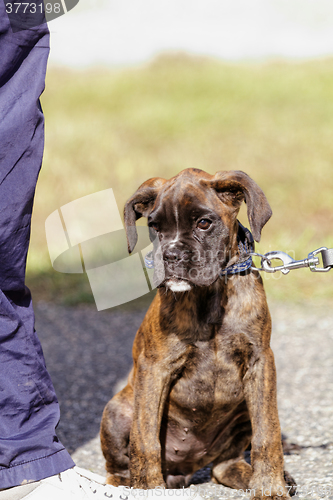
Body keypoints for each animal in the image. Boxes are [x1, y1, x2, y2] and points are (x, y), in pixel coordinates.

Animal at [100, 169, 294, 500]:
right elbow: (145, 439)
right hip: (117, 411)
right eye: (154, 227)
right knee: (118, 468)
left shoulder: (260, 363)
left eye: (204, 223)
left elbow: (267, 432)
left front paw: (269, 487)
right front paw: (148, 488)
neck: (212, 295)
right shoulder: (155, 368)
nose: (171, 255)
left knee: (224, 465)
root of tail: (183, 469)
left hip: (242, 410)